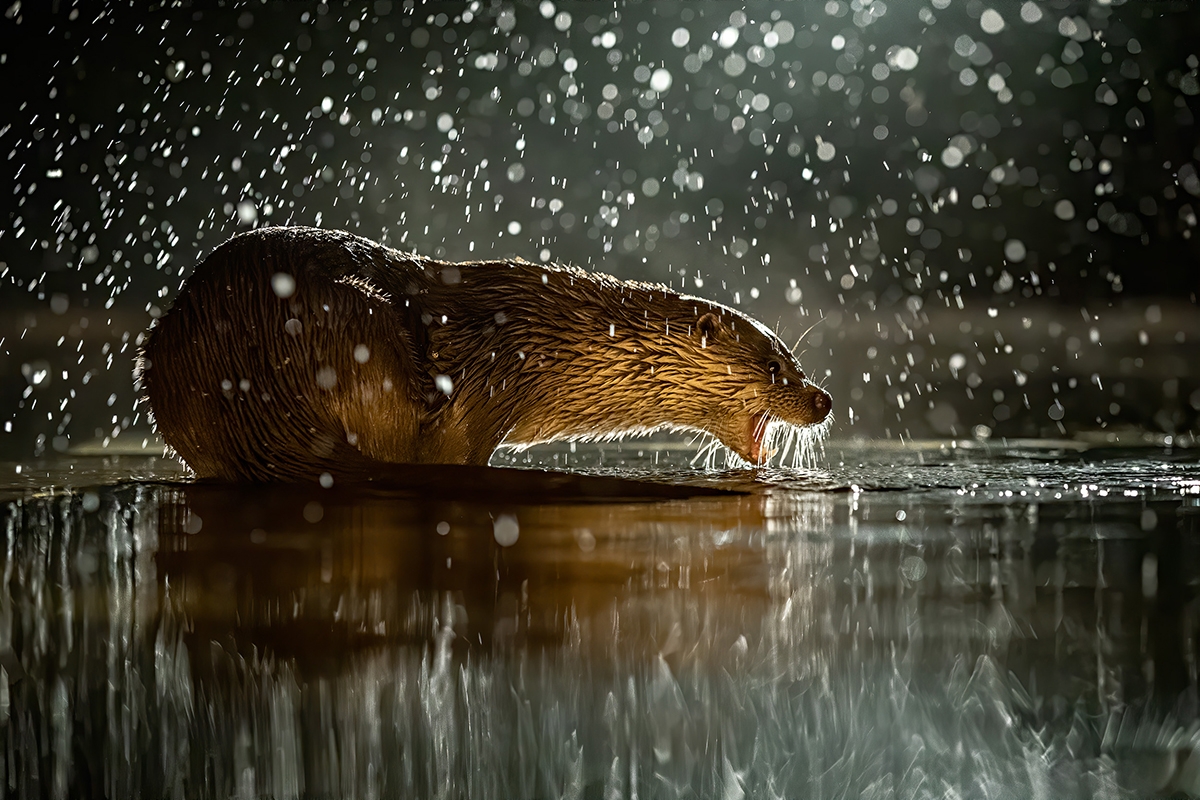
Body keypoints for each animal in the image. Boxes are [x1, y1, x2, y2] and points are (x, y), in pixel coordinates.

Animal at [138, 227, 831, 481]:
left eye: (794, 364)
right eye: (775, 366)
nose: (822, 398)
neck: (545, 341)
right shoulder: (484, 391)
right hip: (357, 330)